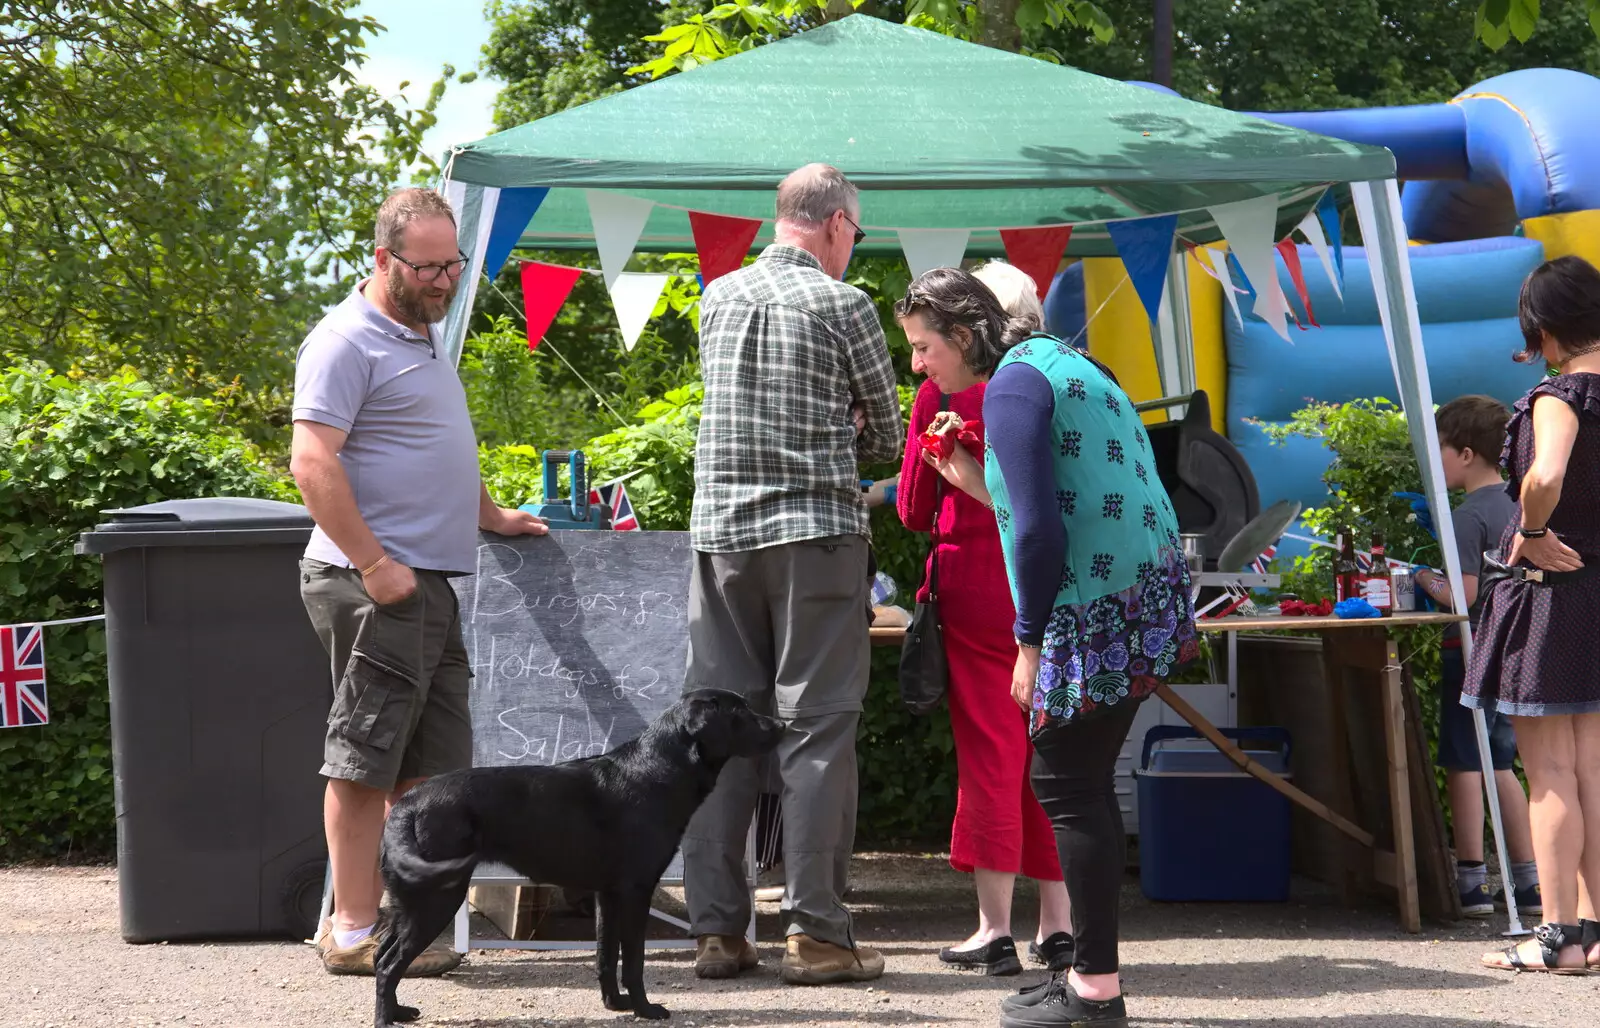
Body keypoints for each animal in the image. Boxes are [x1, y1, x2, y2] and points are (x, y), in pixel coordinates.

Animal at [369, 685, 780, 1018]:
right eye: (740, 712)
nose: (781, 725)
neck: (656, 772)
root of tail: (408, 802)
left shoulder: (608, 895)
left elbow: (605, 954)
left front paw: (616, 1004)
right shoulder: (636, 891)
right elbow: (633, 960)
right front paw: (646, 1010)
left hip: (412, 899)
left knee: (379, 956)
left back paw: (399, 1011)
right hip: (438, 896)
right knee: (389, 964)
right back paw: (387, 1019)